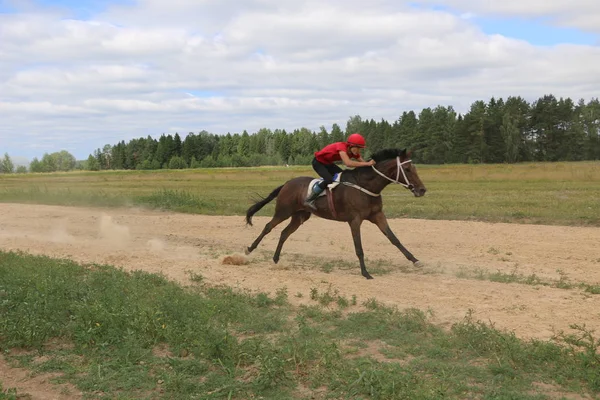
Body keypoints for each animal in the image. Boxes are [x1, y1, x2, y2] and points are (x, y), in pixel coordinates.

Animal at [244, 148, 426, 280]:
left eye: (415, 168)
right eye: (407, 169)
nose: (422, 190)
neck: (366, 185)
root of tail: (287, 183)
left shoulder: (377, 215)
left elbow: (394, 238)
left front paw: (415, 260)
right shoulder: (355, 220)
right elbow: (359, 248)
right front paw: (365, 273)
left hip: (300, 216)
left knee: (284, 233)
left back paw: (275, 258)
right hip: (284, 211)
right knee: (268, 227)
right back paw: (250, 249)